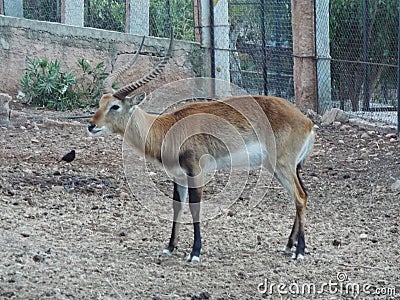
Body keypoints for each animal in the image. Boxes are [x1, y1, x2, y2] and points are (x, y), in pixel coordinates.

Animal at [88, 33, 316, 262]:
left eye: (115, 106)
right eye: (100, 102)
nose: (91, 125)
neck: (167, 128)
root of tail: (307, 121)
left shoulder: (196, 171)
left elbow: (194, 207)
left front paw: (195, 252)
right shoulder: (178, 175)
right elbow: (177, 206)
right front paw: (170, 247)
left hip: (283, 165)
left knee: (300, 197)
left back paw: (299, 251)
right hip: (276, 167)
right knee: (300, 196)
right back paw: (289, 246)